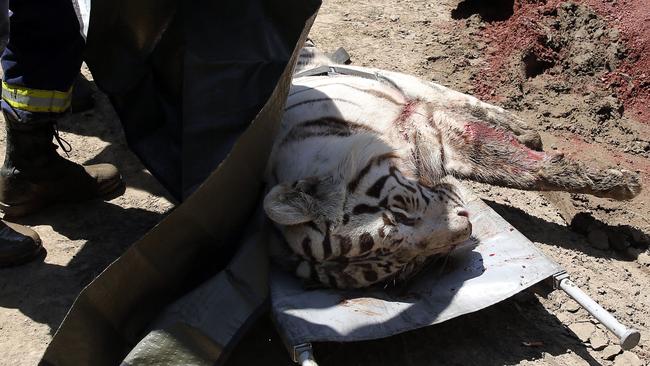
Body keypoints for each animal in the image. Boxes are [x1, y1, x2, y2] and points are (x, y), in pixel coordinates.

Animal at [260, 42, 640, 288]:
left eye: (401, 212)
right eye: (410, 266)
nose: (465, 229)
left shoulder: (423, 122)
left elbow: (520, 166)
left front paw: (620, 183)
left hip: (407, 84)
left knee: (462, 99)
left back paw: (524, 128)